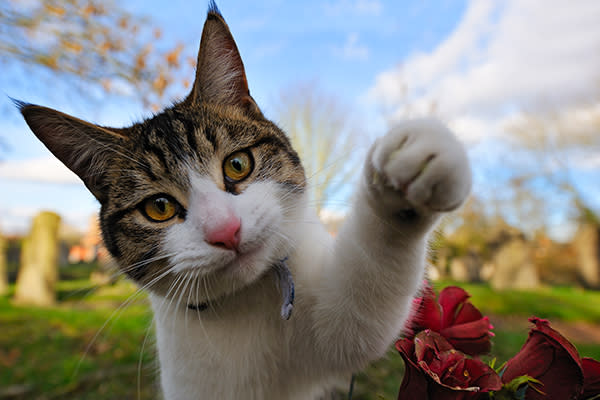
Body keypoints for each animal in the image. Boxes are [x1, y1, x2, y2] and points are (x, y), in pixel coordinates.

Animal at [16, 3, 472, 400]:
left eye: (237, 164)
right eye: (158, 208)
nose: (226, 230)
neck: (245, 303)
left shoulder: (331, 326)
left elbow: (363, 308)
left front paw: (408, 168)